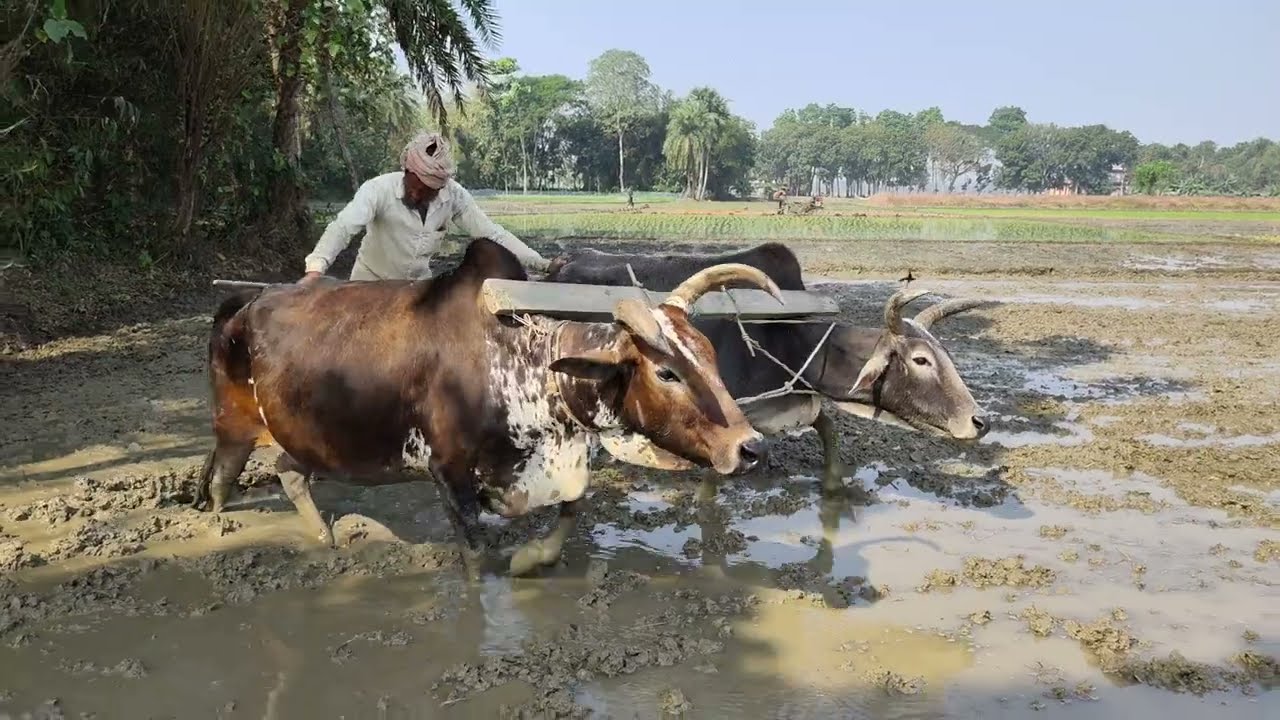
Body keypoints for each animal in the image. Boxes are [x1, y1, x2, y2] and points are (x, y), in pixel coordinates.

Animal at [192, 238, 782, 577]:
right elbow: (475, 556)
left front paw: (530, 559)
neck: (518, 359)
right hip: (234, 424)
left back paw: (323, 539)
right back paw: (216, 536)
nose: (750, 447)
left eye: (710, 356)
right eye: (666, 372)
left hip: (305, 436)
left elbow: (572, 510)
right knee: (222, 480)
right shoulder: (447, 472)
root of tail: (246, 300)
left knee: (289, 471)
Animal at [544, 242, 991, 491]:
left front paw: (835, 489)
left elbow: (828, 430)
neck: (786, 339)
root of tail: (562, 261)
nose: (980, 421)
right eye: (921, 359)